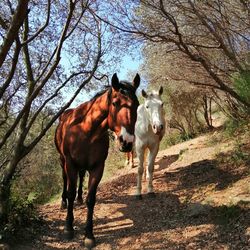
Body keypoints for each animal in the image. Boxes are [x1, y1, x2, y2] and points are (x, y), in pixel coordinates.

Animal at [54, 73, 140, 248]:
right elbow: (71, 192)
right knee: (65, 180)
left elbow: (91, 200)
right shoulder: (71, 164)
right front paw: (68, 228)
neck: (86, 130)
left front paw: (89, 235)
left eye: (137, 104)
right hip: (62, 161)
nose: (126, 142)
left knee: (81, 178)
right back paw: (63, 202)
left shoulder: (97, 167)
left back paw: (79, 198)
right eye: (115, 103)